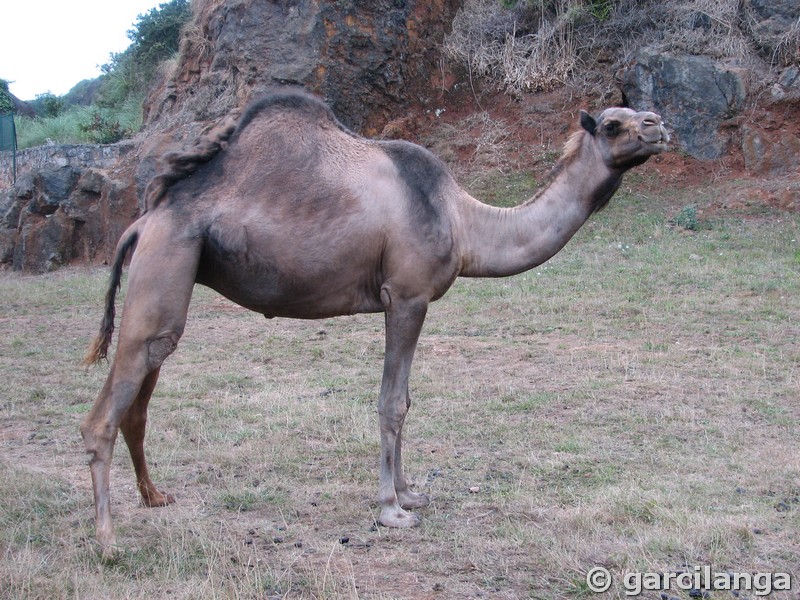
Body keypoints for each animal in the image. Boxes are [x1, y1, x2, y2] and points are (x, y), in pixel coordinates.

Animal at [81, 89, 668, 552]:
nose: (659, 125)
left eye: (638, 112)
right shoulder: (406, 296)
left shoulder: (407, 300)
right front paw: (391, 509)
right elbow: (392, 402)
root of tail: (143, 222)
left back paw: (155, 497)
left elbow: (403, 399)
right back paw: (108, 541)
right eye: (612, 124)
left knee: (140, 397)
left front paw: (410, 493)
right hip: (165, 261)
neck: (464, 220)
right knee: (103, 416)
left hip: (169, 281)